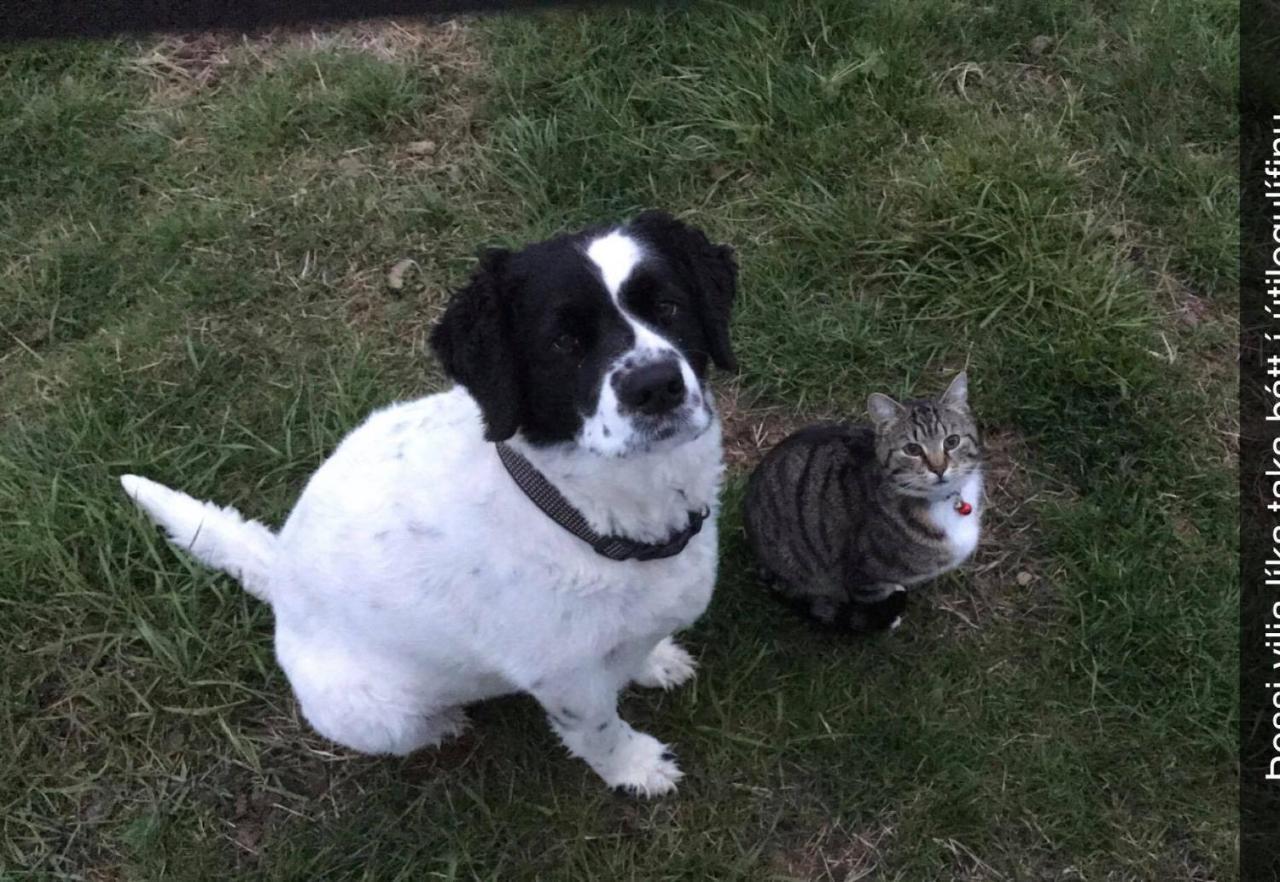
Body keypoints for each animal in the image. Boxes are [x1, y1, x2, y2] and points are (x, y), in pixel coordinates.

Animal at [122, 209, 742, 793]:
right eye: (563, 342)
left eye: (668, 306)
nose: (656, 386)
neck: (584, 513)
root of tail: (280, 574)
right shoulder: (565, 681)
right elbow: (598, 732)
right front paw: (636, 768)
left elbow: (640, 644)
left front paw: (654, 661)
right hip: (381, 714)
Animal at [742, 371, 977, 632]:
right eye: (912, 449)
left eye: (952, 441)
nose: (938, 468)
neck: (942, 501)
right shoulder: (863, 575)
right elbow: (874, 594)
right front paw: (890, 609)